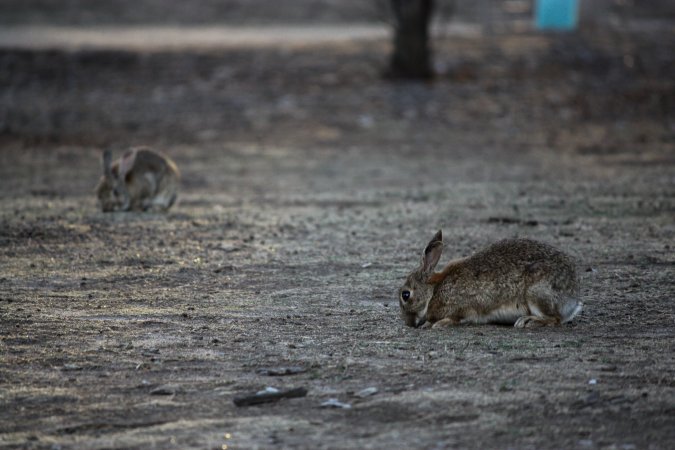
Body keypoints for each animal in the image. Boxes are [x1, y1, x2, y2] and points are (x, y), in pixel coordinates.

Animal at [399, 230, 582, 329]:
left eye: (405, 295)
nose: (408, 323)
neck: (434, 291)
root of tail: (573, 297)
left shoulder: (463, 308)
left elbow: (455, 318)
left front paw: (435, 324)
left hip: (537, 293)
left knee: (555, 319)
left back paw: (528, 321)